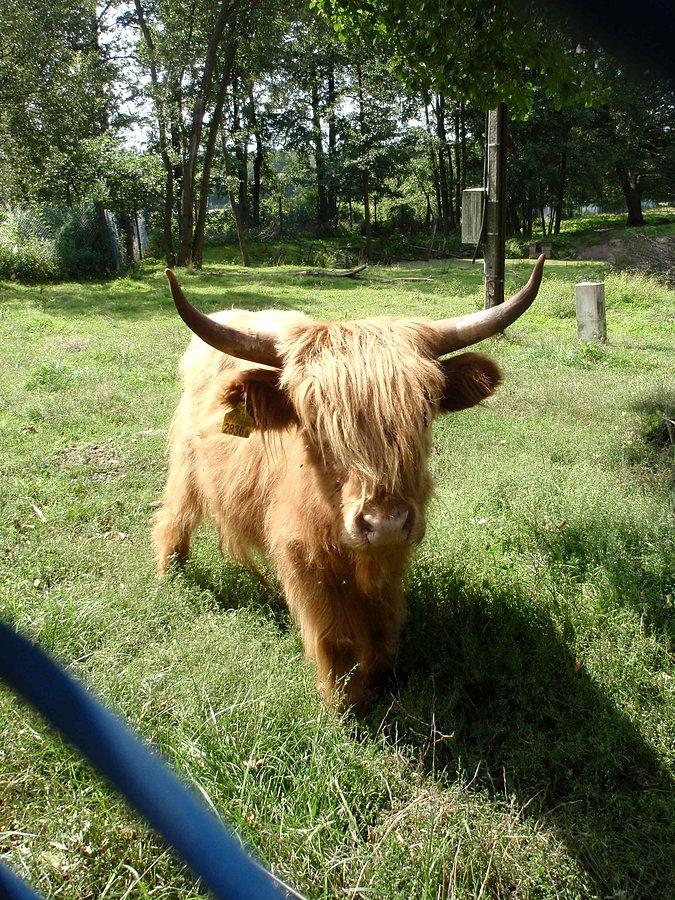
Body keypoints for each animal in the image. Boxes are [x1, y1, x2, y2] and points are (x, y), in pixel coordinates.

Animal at [153, 257, 545, 706]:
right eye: (313, 420)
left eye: (425, 411)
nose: (385, 524)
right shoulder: (304, 557)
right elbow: (334, 635)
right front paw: (345, 702)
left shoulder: (392, 558)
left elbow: (382, 623)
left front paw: (379, 681)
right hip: (185, 468)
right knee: (174, 516)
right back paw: (170, 573)